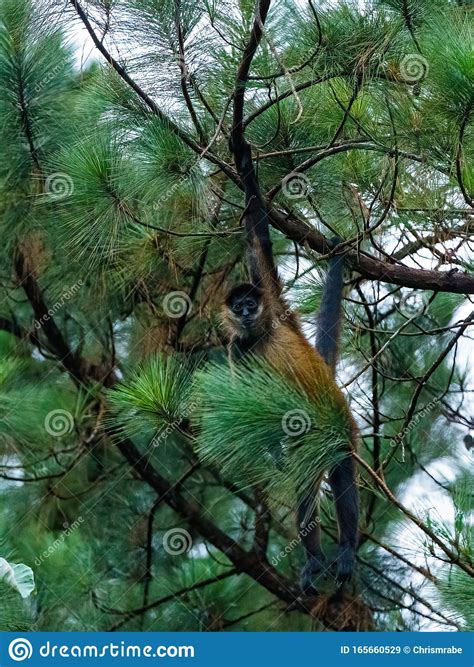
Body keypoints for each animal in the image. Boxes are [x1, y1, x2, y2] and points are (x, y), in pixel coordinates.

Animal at [223, 138, 360, 592]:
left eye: (251, 303)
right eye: (238, 307)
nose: (247, 312)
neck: (261, 335)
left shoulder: (272, 299)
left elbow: (258, 240)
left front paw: (241, 152)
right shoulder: (237, 349)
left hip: (339, 422)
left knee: (341, 471)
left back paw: (346, 548)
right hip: (307, 441)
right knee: (304, 481)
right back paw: (315, 558)